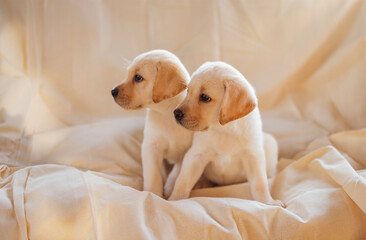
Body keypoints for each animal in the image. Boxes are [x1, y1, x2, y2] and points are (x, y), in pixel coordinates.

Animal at [111, 49, 193, 198]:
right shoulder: (151, 147)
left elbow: (177, 171)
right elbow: (153, 174)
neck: (167, 114)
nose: (112, 91)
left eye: (138, 78)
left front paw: (170, 187)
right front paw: (153, 193)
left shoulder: (187, 151)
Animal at [167, 61, 284, 206]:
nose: (176, 113)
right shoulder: (196, 155)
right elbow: (183, 180)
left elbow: (260, 183)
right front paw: (174, 199)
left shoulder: (253, 155)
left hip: (270, 143)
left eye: (205, 97)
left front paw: (267, 201)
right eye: (188, 91)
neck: (224, 130)